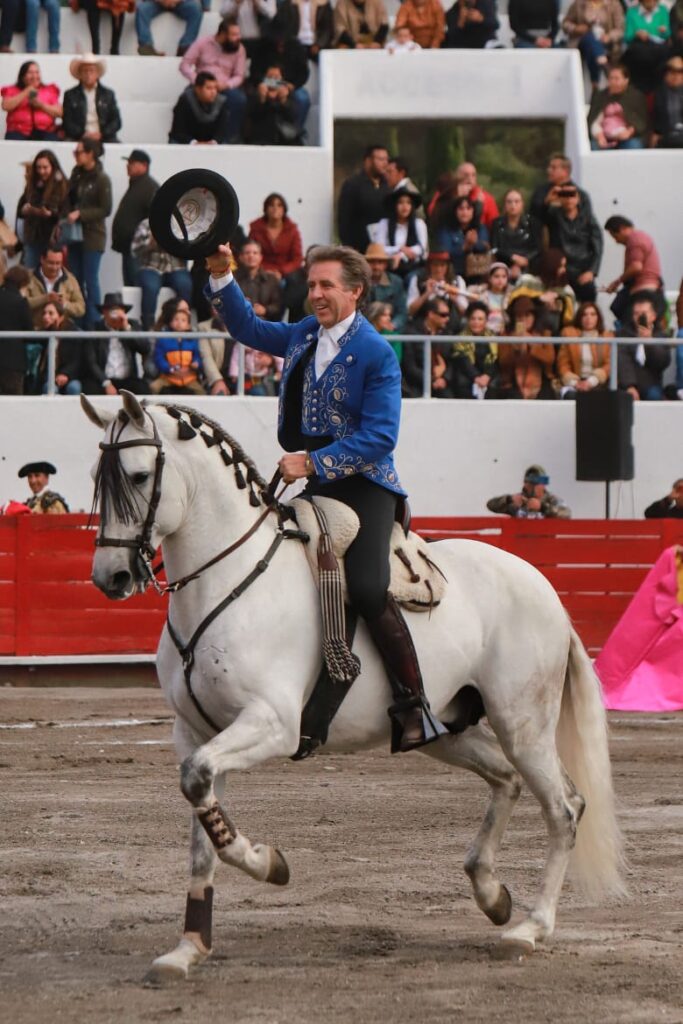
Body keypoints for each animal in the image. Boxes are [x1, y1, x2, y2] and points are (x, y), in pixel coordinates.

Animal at [81, 391, 626, 983]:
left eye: (138, 475)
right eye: (97, 476)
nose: (110, 577)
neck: (229, 579)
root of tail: (542, 586)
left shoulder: (272, 724)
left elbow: (203, 795)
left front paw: (270, 864)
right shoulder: (195, 733)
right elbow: (200, 820)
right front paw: (188, 948)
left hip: (523, 722)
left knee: (564, 808)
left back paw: (530, 928)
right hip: (447, 729)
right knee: (506, 779)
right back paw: (492, 894)